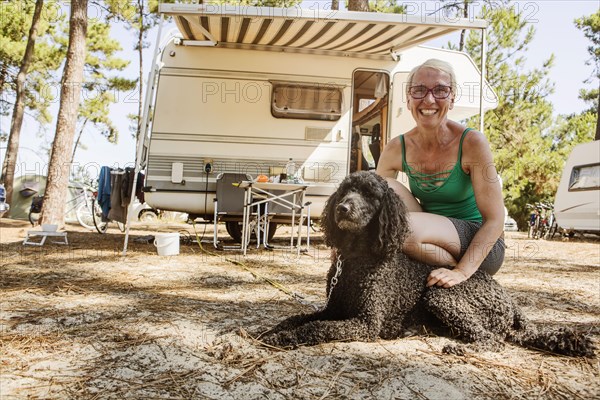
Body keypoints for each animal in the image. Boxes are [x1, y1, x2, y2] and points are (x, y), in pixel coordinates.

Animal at [264, 171, 596, 356]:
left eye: (372, 195)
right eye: (346, 190)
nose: (343, 208)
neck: (357, 259)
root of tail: (510, 303)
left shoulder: (365, 323)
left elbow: (315, 328)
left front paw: (284, 338)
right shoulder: (333, 309)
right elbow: (300, 317)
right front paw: (272, 329)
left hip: (441, 296)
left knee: (493, 340)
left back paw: (461, 349)